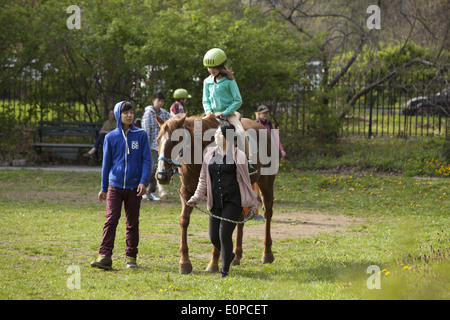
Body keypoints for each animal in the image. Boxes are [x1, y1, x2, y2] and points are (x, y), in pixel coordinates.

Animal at [155, 113, 276, 276]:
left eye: (175, 141)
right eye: (157, 140)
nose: (161, 176)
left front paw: (213, 263)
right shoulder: (187, 192)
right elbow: (184, 221)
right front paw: (185, 263)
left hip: (266, 184)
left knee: (268, 213)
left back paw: (267, 254)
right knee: (240, 218)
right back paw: (237, 256)